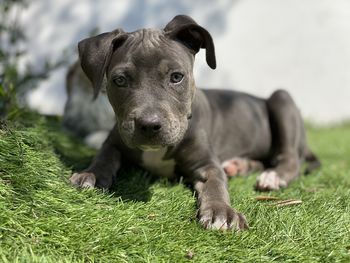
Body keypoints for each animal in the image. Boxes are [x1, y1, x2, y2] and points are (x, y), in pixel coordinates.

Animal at [66, 15, 320, 232]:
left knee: (290, 158)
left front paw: (221, 212)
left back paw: (273, 176)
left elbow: (215, 183)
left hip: (282, 99)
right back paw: (238, 166)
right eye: (119, 80)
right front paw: (91, 174)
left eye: (177, 77)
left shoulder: (207, 164)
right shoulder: (114, 141)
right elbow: (105, 155)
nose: (149, 125)